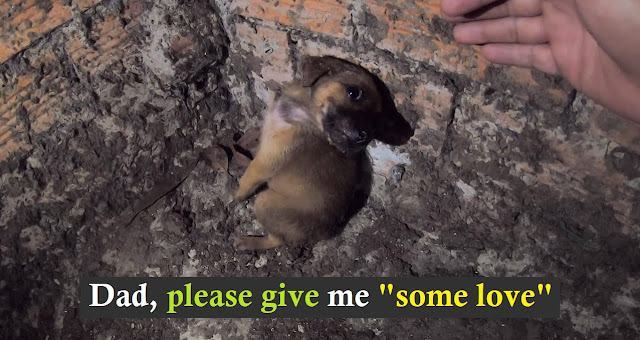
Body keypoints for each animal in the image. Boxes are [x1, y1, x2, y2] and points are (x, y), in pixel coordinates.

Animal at [232, 55, 412, 250]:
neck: (305, 112)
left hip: (265, 201)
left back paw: (249, 242)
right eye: (354, 93)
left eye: (374, 122)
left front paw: (236, 195)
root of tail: (321, 236)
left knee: (278, 240)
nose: (362, 136)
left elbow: (248, 179)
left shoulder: (268, 160)